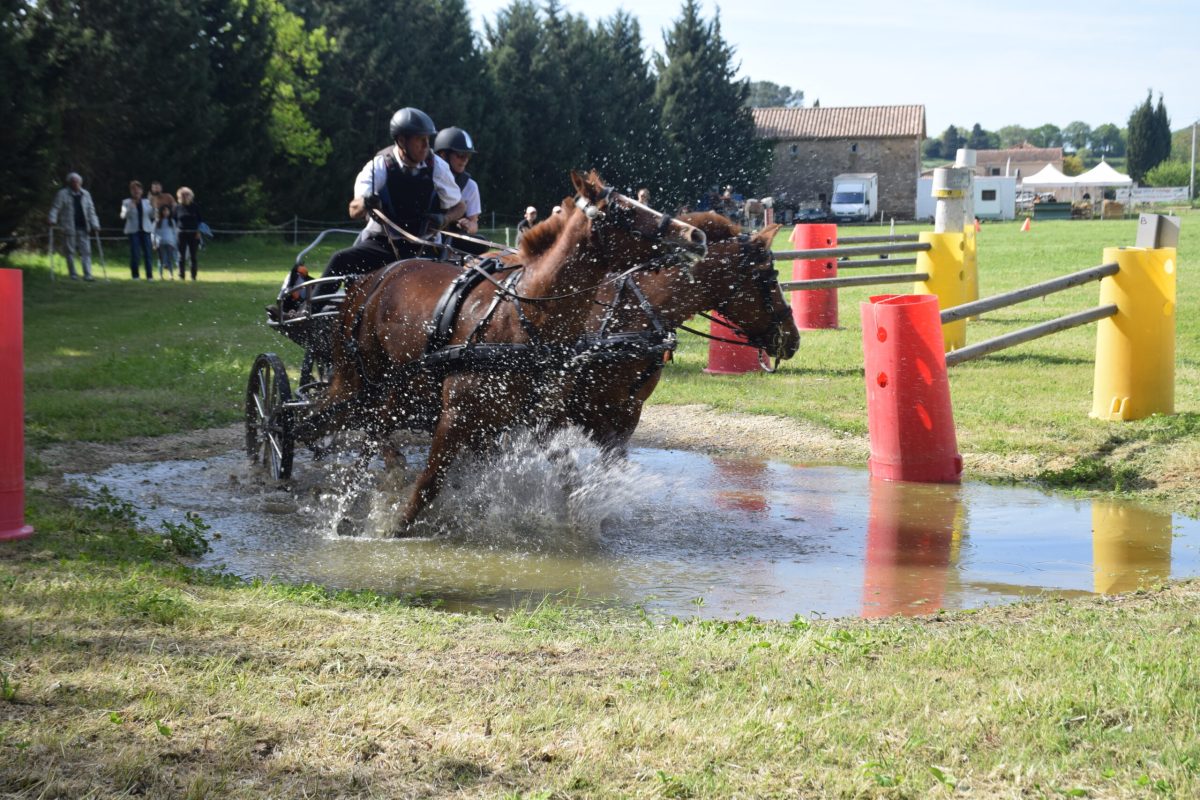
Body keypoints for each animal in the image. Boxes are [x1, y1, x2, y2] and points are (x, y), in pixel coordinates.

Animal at [315, 170, 708, 533]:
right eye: (623, 210)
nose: (695, 236)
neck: (524, 314)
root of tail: (373, 277)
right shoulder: (455, 416)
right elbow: (428, 483)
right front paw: (396, 527)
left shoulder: (543, 417)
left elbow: (569, 475)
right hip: (361, 382)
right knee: (347, 426)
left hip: (402, 388)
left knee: (376, 431)